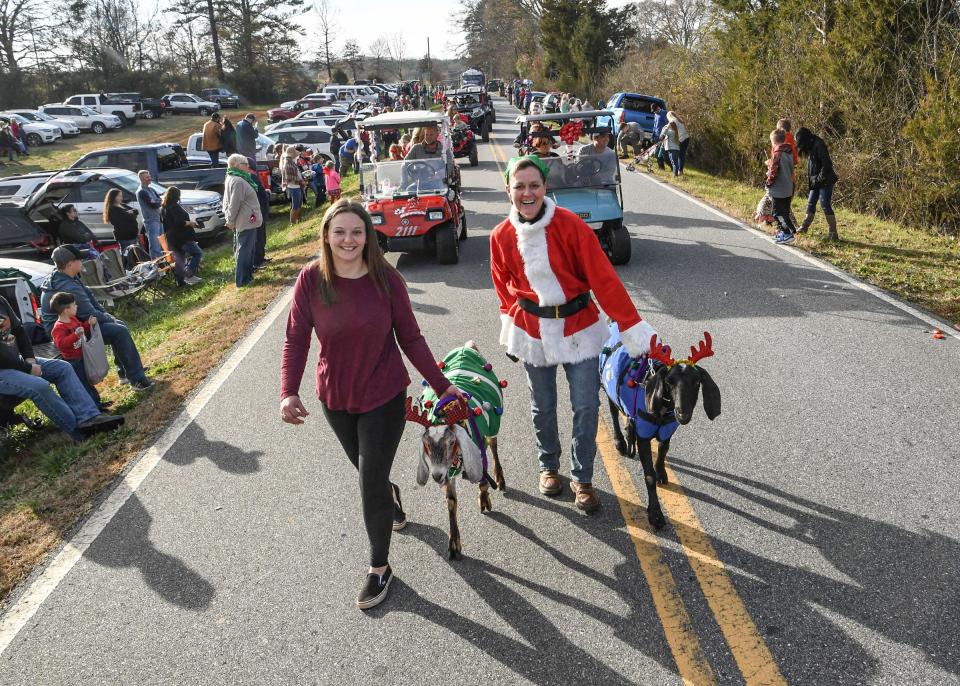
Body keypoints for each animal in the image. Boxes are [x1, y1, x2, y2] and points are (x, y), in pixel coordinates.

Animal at [404, 342, 510, 560]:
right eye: (426, 445)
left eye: (451, 442)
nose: (436, 476)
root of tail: (466, 347)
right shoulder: (448, 471)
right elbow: (451, 501)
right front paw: (454, 544)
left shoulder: (478, 449)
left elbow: (483, 477)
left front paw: (484, 499)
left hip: (494, 421)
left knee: (493, 444)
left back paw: (500, 478)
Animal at [600, 326, 720, 528]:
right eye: (669, 381)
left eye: (697, 382)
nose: (682, 413)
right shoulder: (643, 436)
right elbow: (648, 475)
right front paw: (655, 514)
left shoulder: (667, 432)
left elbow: (663, 450)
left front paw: (661, 473)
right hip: (608, 388)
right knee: (613, 410)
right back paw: (620, 442)